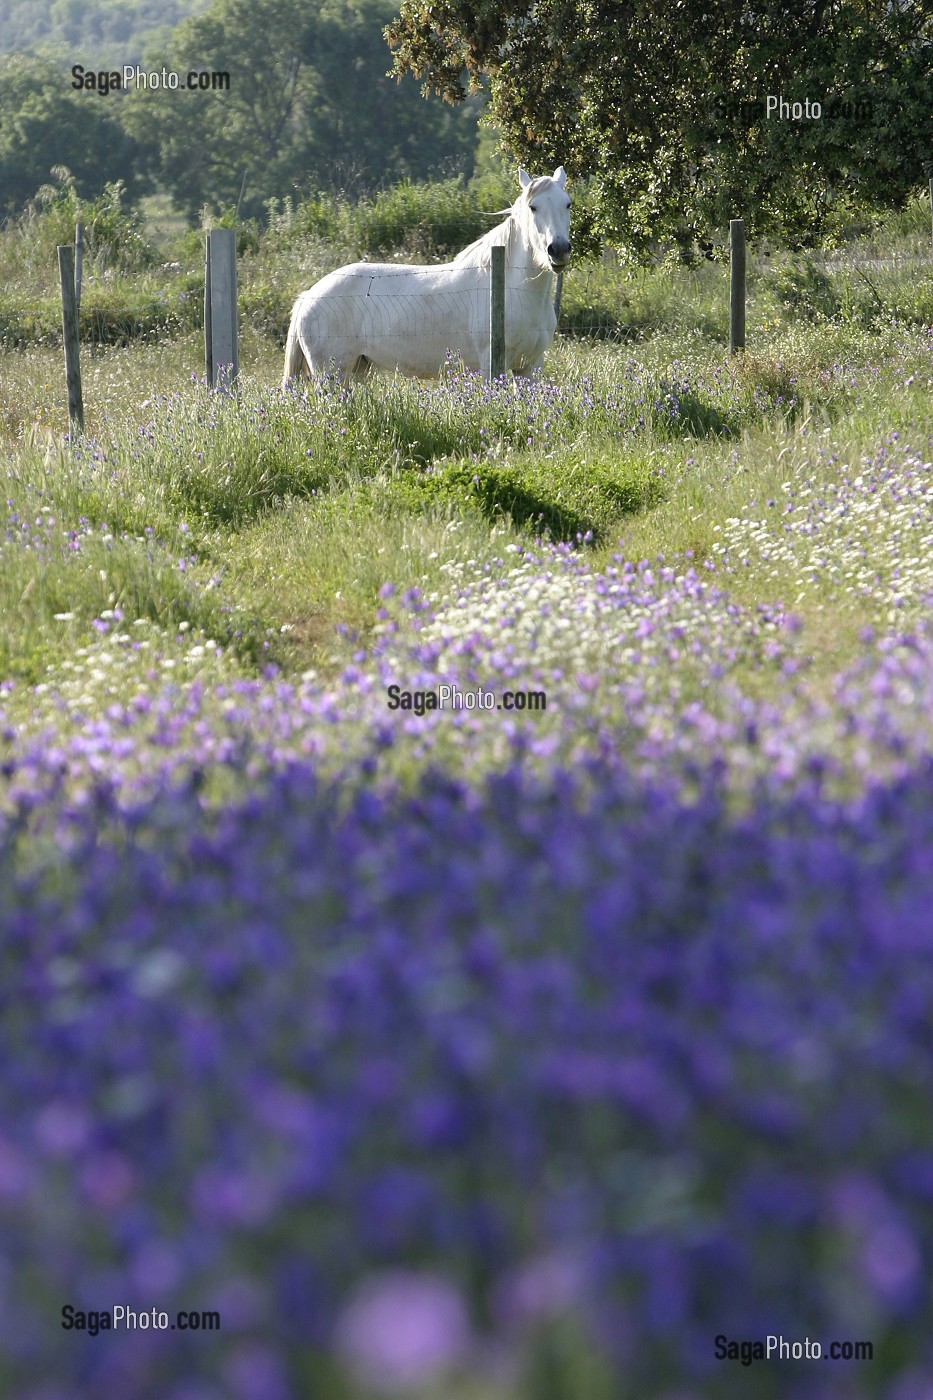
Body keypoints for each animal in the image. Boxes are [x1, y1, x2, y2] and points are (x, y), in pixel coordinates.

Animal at [282, 167, 572, 386]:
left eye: (568, 204)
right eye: (533, 207)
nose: (558, 250)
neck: (512, 291)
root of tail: (309, 296)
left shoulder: (529, 367)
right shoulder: (492, 367)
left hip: (358, 370)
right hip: (331, 376)